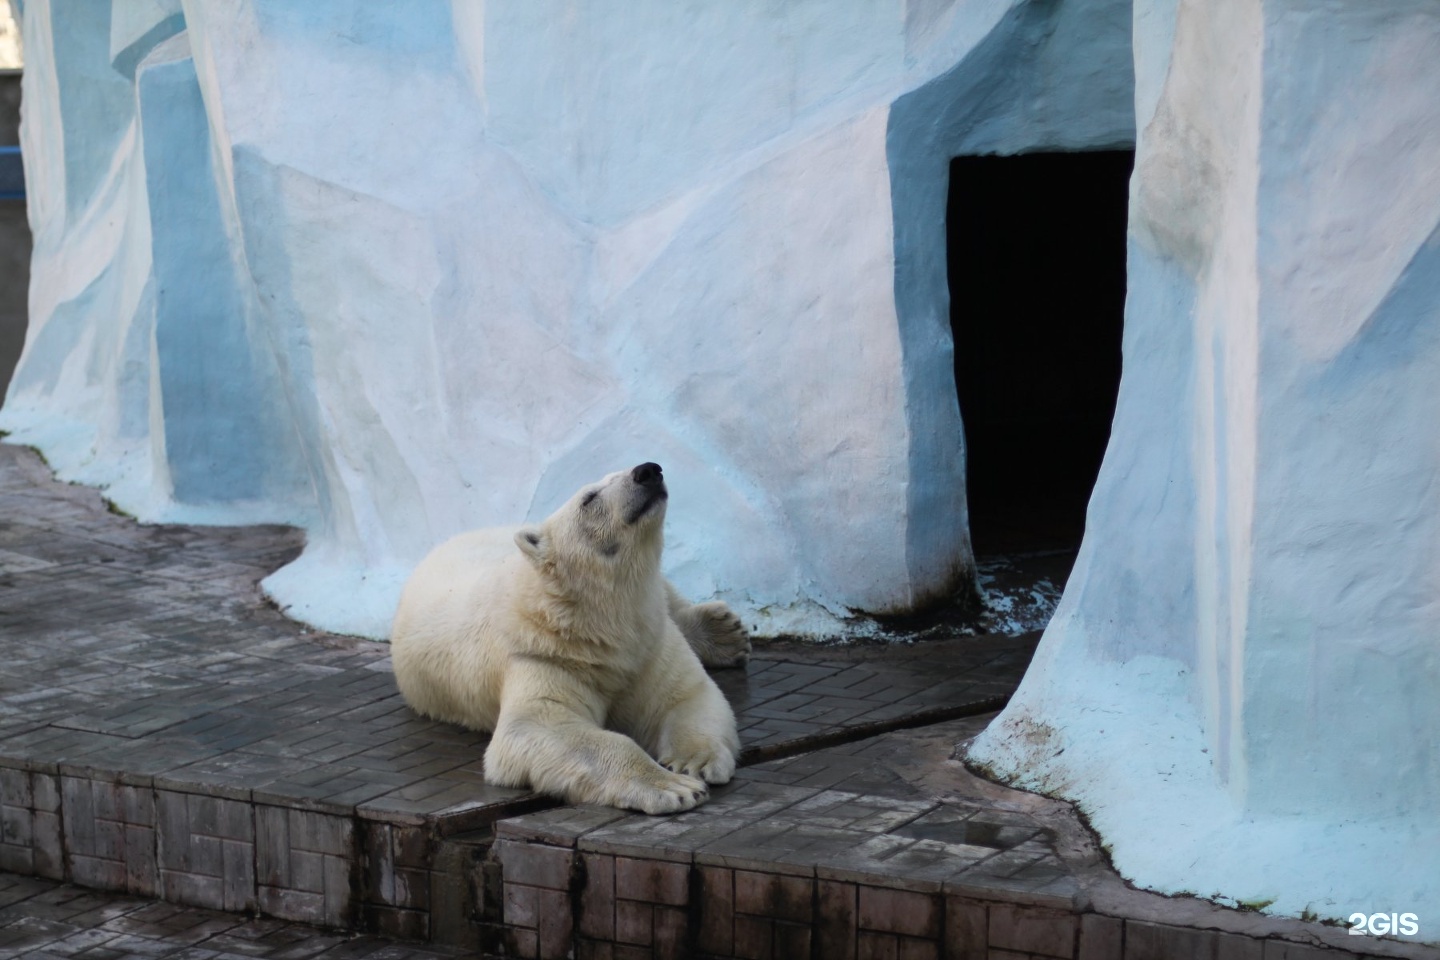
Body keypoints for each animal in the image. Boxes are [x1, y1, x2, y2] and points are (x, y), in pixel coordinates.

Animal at [394, 460, 754, 817]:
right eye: (589, 498)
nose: (648, 470)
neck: (598, 622)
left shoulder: (651, 642)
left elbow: (686, 695)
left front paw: (694, 763)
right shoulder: (545, 656)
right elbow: (540, 727)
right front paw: (674, 788)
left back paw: (723, 631)